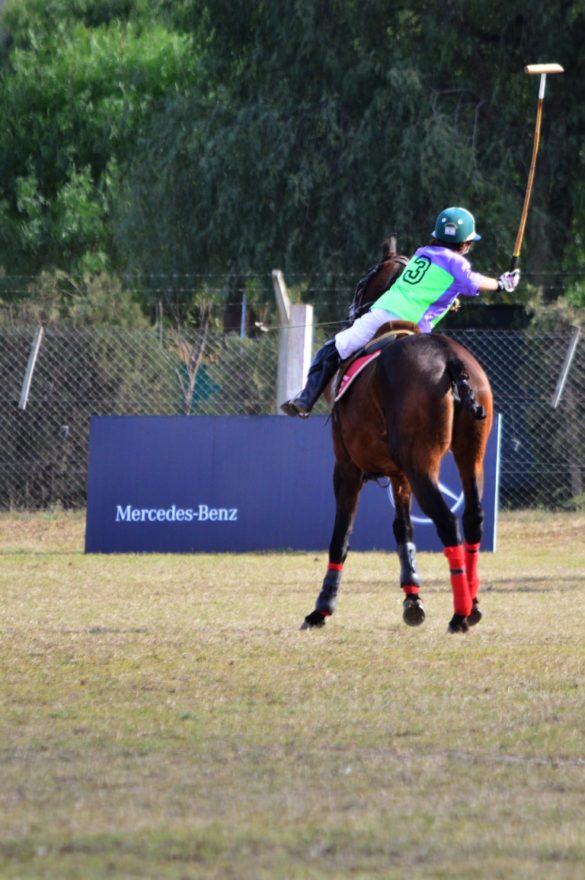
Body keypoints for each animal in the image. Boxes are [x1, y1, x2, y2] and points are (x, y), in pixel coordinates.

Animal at [302, 241, 492, 632]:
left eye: (363, 279)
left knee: (447, 521)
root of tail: (451, 360)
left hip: (423, 466)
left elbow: (341, 534)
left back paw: (460, 614)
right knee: (473, 518)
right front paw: (412, 599)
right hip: (470, 455)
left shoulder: (347, 467)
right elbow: (402, 528)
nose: (352, 313)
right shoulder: (399, 473)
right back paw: (473, 603)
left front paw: (322, 608)